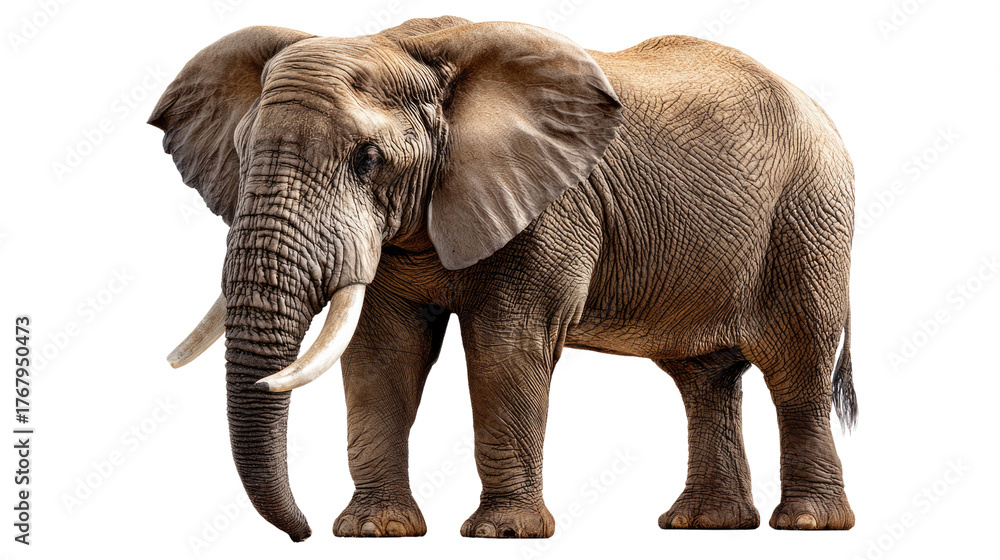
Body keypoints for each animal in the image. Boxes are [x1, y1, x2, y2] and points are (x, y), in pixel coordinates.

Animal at [149, 15, 857, 540]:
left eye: (367, 158)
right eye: (242, 154)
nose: (301, 533)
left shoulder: (552, 209)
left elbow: (506, 347)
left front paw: (502, 534)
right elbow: (382, 354)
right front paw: (374, 532)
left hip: (810, 221)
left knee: (797, 367)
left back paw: (806, 525)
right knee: (704, 379)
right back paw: (702, 526)